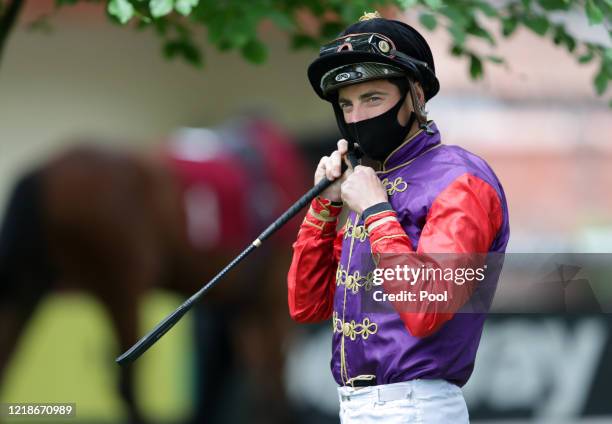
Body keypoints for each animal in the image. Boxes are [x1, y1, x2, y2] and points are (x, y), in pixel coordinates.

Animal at [0, 117, 306, 422]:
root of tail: (47, 170)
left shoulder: (247, 308)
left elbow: (262, 377)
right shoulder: (270, 302)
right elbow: (274, 377)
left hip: (35, 287)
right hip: (122, 287)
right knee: (127, 385)